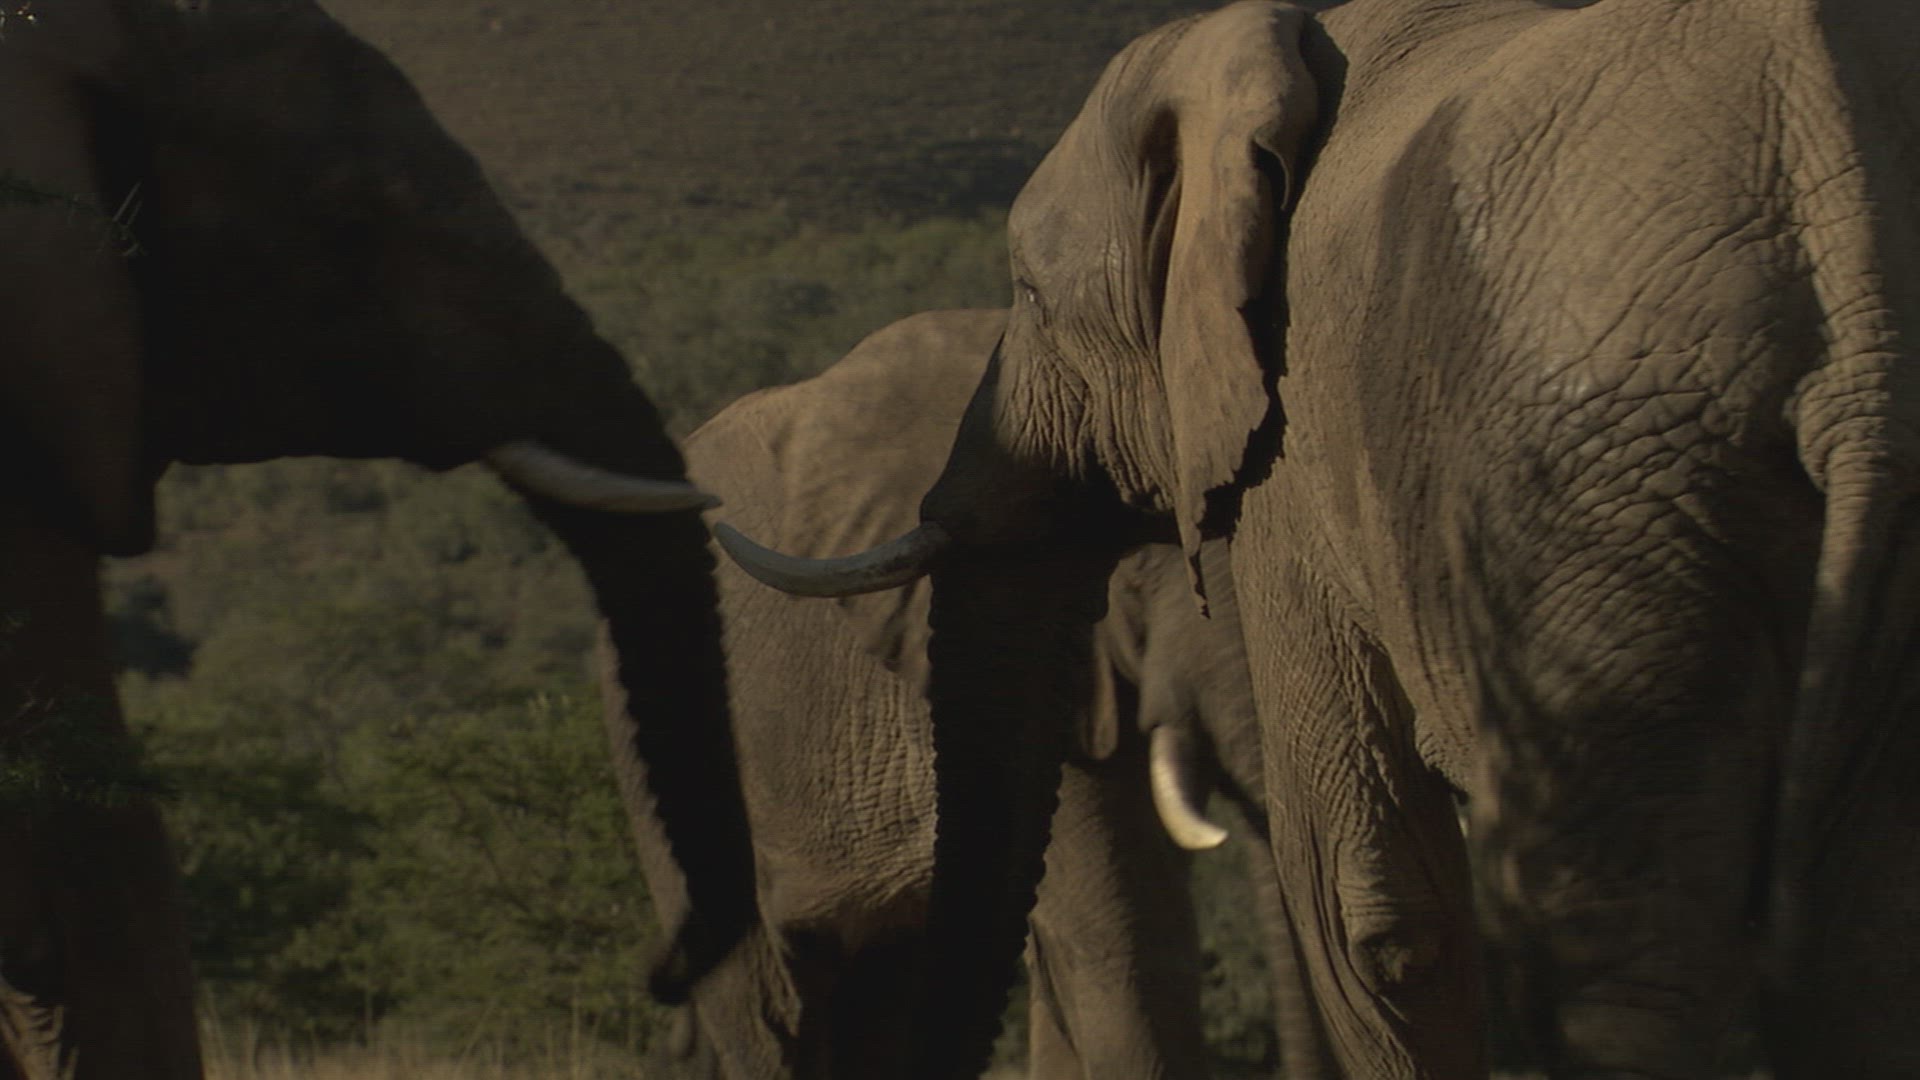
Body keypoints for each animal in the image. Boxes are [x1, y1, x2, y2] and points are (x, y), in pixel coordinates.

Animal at [720, 1, 1920, 1076]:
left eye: (1026, 291)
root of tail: (1842, 213)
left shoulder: (1293, 454)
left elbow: (1369, 910)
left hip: (1605, 486)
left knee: (1618, 944)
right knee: (1858, 943)